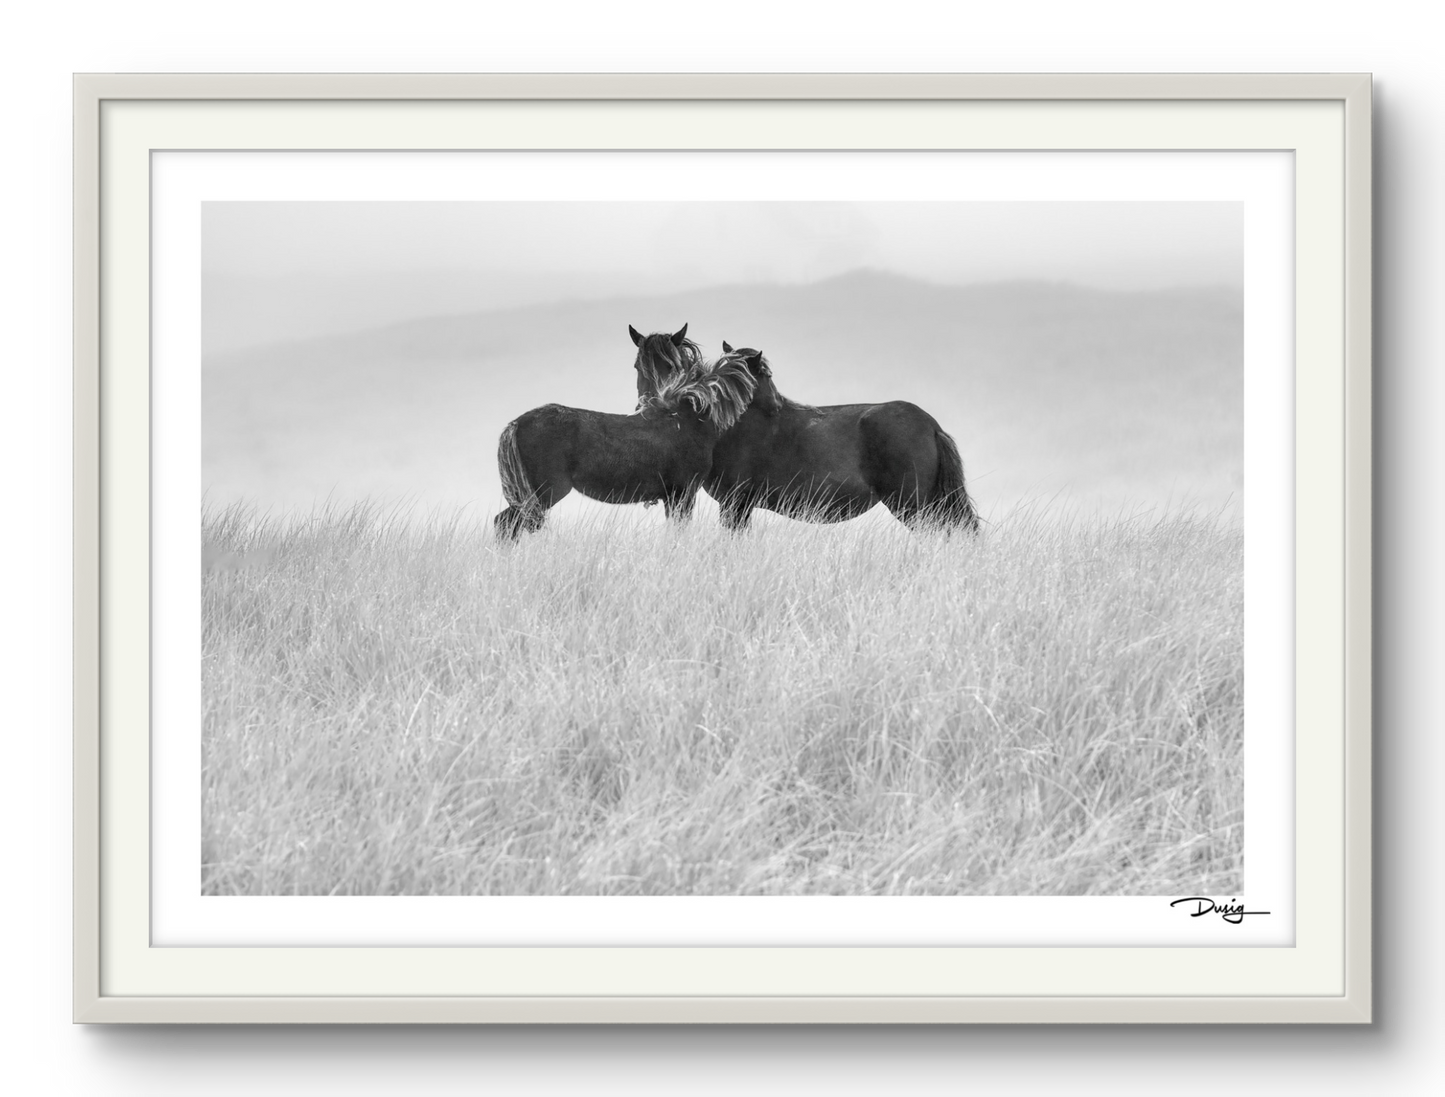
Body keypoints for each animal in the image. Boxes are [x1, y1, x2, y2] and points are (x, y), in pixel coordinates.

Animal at [494, 339, 751, 537]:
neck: (688, 419)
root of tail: (516, 423)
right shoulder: (682, 493)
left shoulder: (672, 497)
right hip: (544, 492)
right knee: (506, 524)